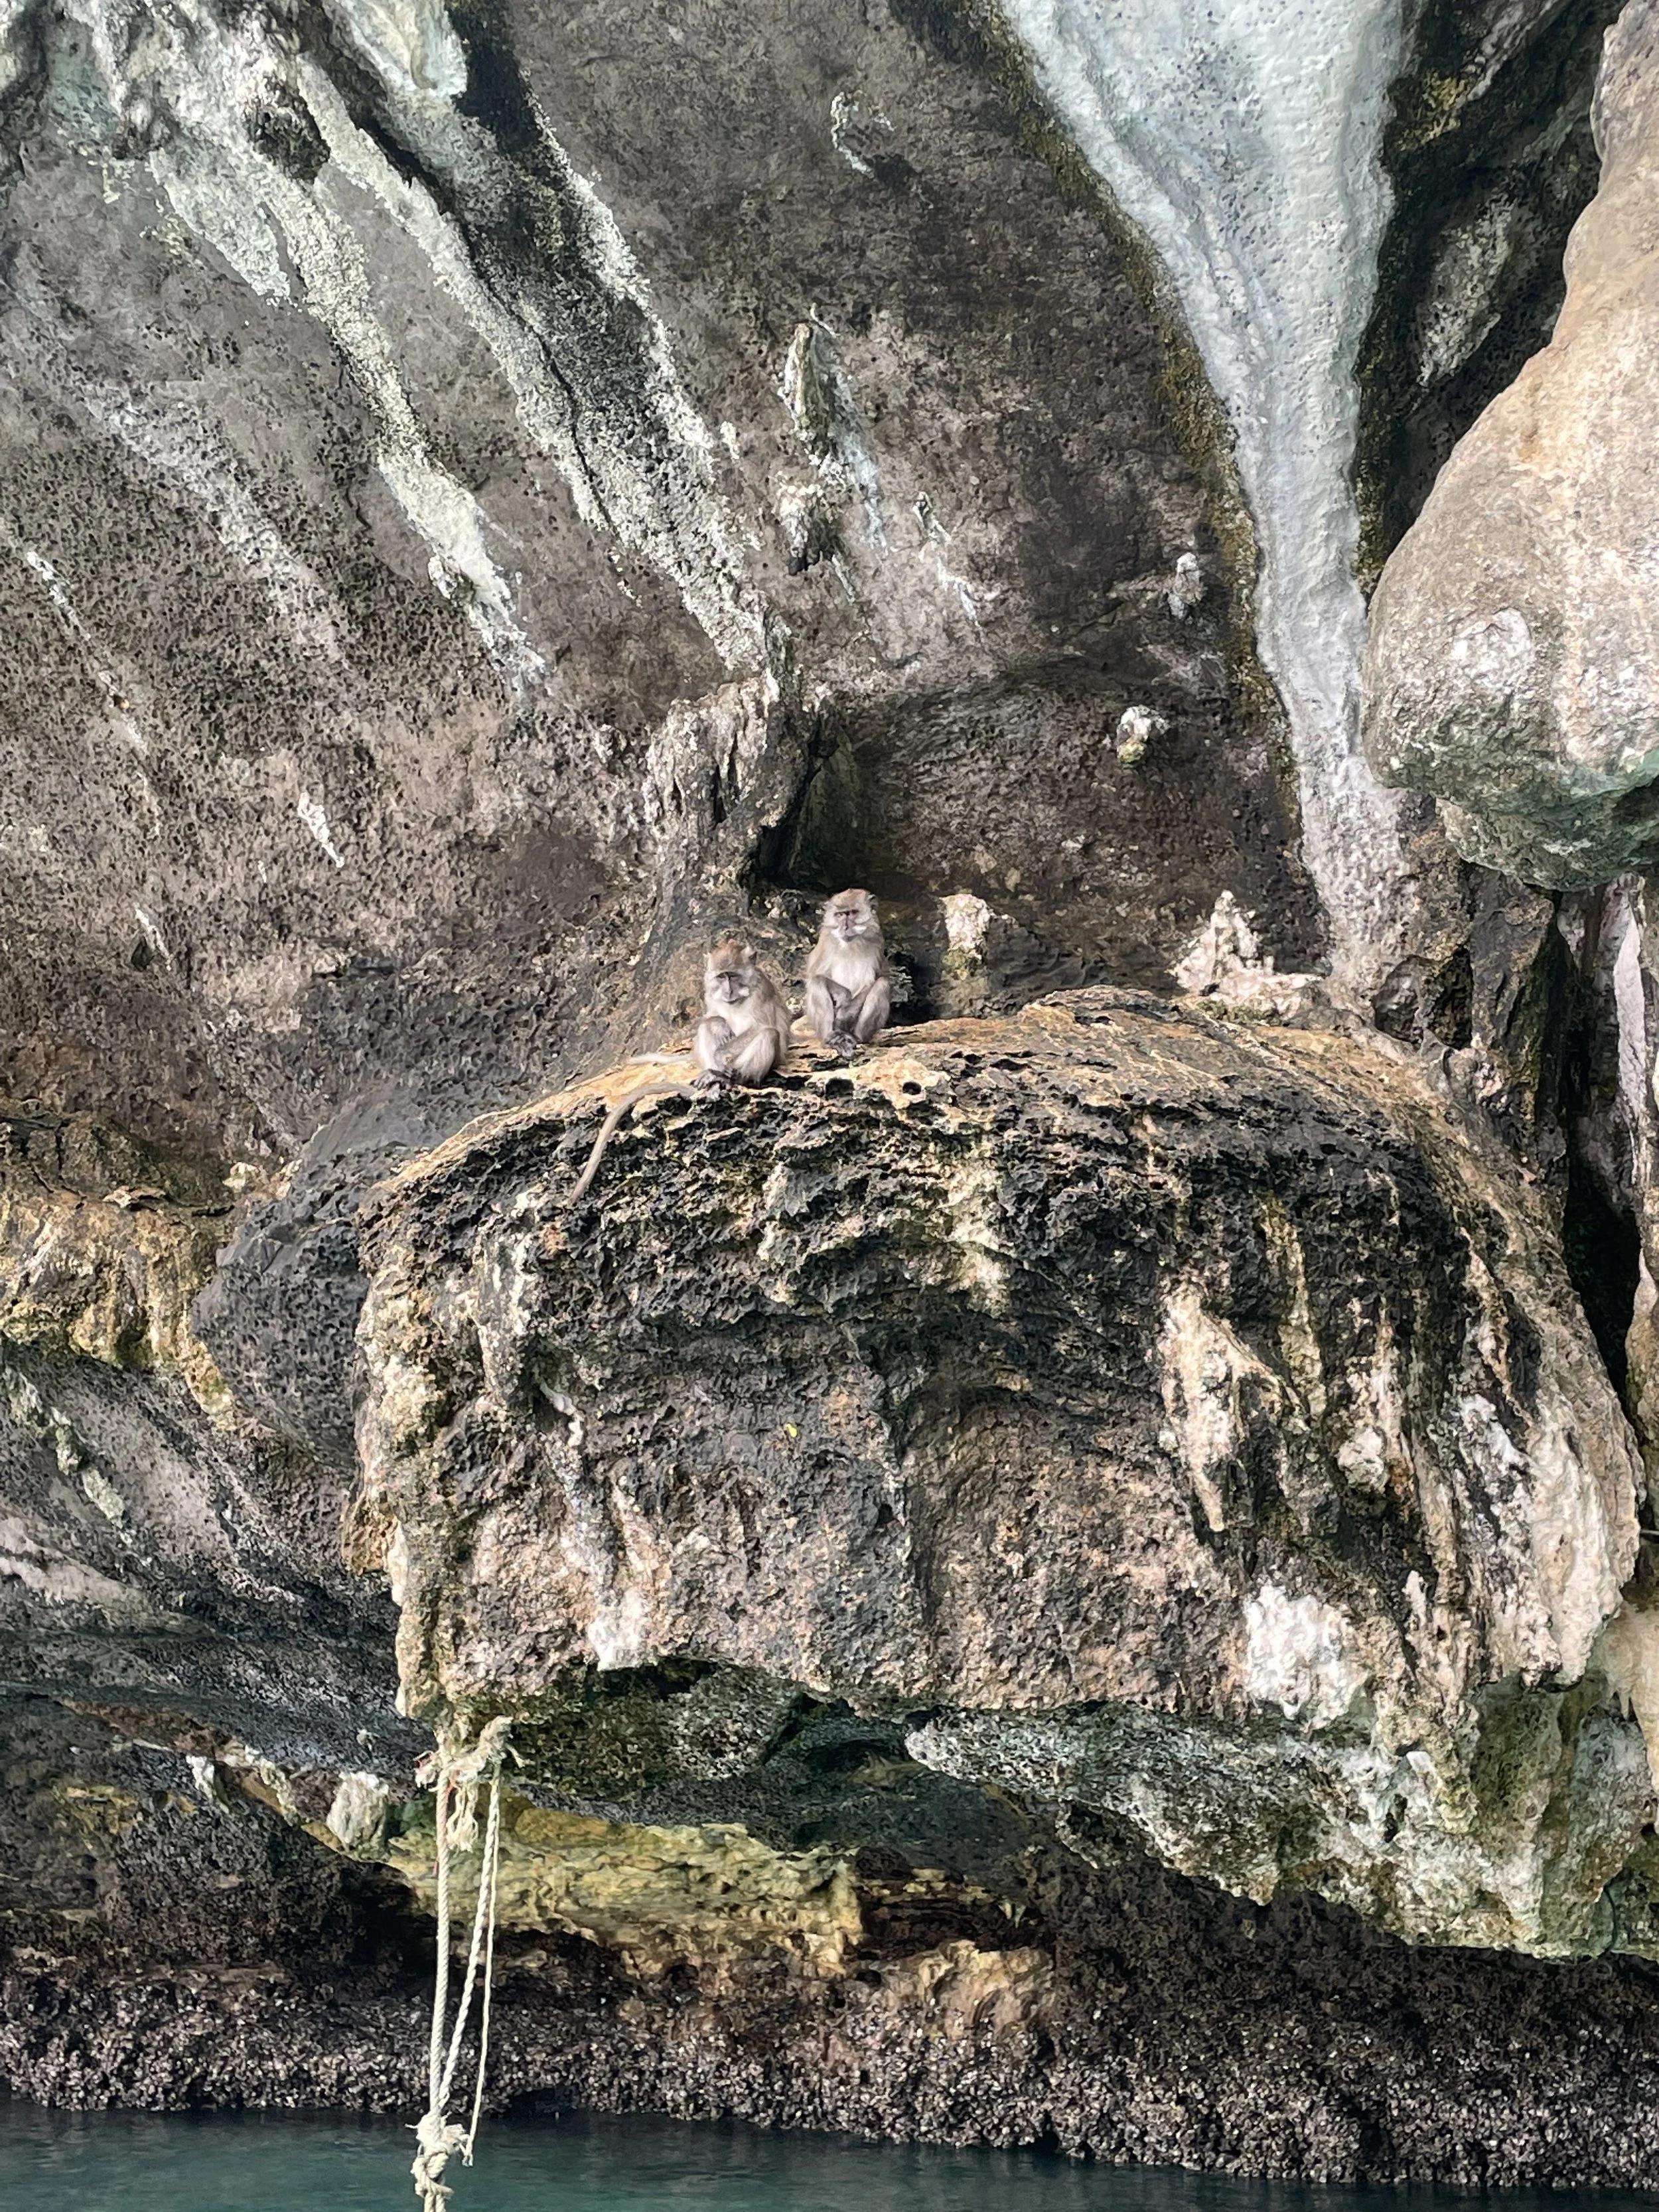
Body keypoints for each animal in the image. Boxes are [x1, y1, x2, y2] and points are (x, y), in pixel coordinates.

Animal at [565, 939, 792, 1204]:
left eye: (733, 976)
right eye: (721, 977)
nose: (728, 991)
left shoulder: (760, 991)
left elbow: (762, 1026)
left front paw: (720, 1058)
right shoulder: (711, 994)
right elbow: (712, 1019)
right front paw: (717, 1037)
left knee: (768, 1034)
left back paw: (733, 1079)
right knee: (709, 1027)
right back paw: (713, 1081)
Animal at [805, 888, 891, 1061]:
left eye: (851, 913)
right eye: (839, 915)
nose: (844, 927)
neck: (852, 944)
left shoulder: (877, 941)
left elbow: (876, 979)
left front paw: (845, 1015)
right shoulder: (826, 939)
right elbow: (814, 976)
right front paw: (843, 994)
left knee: (883, 984)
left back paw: (856, 1038)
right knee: (816, 982)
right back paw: (832, 1039)